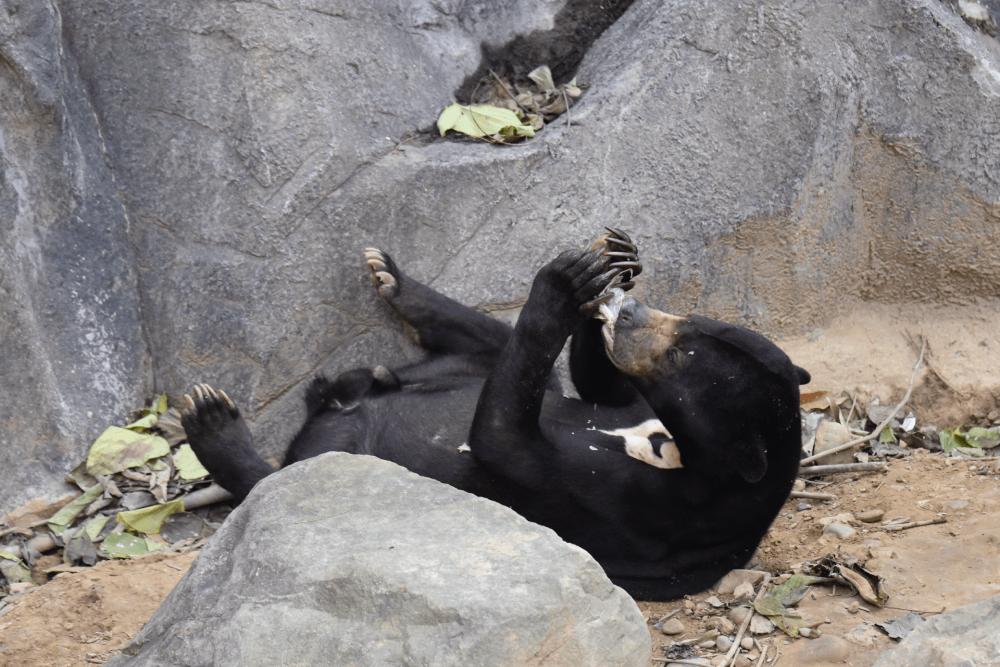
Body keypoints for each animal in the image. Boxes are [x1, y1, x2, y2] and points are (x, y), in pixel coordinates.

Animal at [180, 230, 810, 600]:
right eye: (692, 323)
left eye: (681, 357)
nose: (629, 313)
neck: (672, 448)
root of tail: (333, 408)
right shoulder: (630, 411)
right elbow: (595, 388)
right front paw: (615, 258)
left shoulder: (639, 510)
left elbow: (505, 444)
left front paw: (565, 280)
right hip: (455, 369)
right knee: (492, 343)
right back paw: (391, 278)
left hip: (334, 458)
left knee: (282, 481)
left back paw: (211, 418)